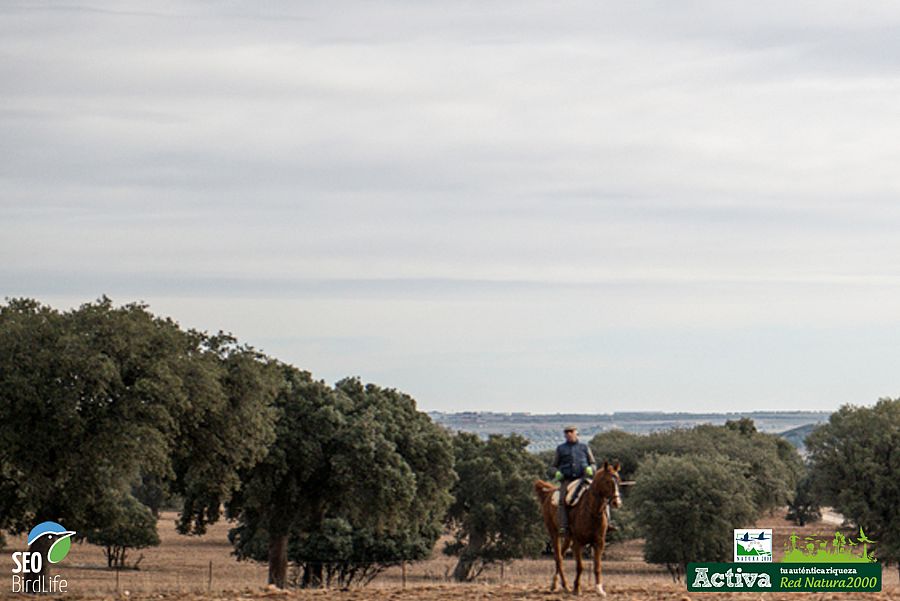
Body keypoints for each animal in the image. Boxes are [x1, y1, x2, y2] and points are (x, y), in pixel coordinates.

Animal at [532, 462, 624, 592]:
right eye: (607, 481)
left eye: (618, 480)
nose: (617, 503)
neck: (592, 512)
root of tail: (549, 493)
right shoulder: (578, 543)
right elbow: (580, 566)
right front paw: (576, 588)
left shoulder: (599, 542)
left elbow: (597, 567)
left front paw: (599, 589)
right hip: (554, 533)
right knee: (558, 558)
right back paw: (565, 585)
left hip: (567, 538)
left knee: (561, 556)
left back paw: (555, 584)